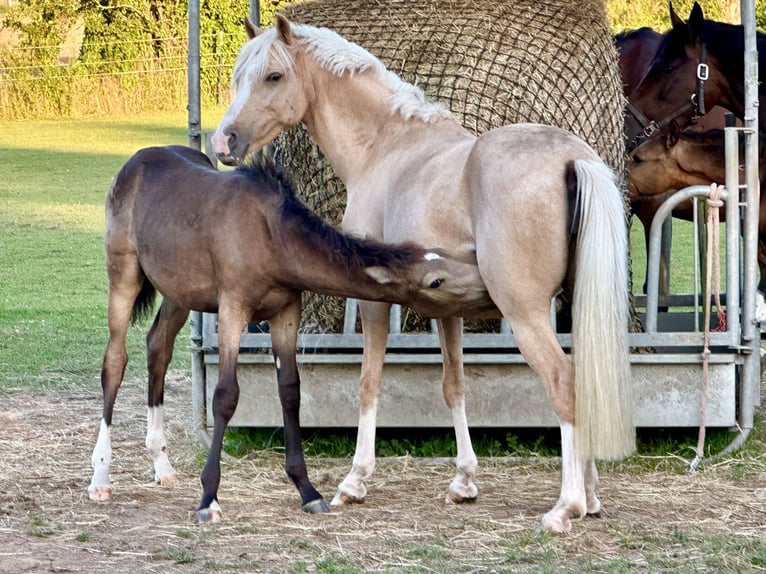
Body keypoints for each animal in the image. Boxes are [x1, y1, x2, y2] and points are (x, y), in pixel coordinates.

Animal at [87, 146, 488, 524]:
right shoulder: (232, 307)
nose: (486, 285)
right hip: (123, 274)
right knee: (115, 361)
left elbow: (291, 391)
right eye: (436, 281)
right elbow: (225, 395)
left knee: (158, 346)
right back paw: (101, 477)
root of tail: (134, 163)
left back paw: (162, 464)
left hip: (178, 292)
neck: (270, 238)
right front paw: (208, 498)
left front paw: (307, 489)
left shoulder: (286, 312)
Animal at [212, 14, 636, 536]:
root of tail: (571, 158)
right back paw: (591, 497)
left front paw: (355, 481)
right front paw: (464, 481)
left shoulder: (373, 300)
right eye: (239, 78)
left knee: (564, 383)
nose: (224, 142)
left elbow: (368, 382)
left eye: (273, 76)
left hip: (527, 315)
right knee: (585, 383)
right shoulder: (447, 307)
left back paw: (567, 506)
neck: (387, 145)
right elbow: (454, 386)